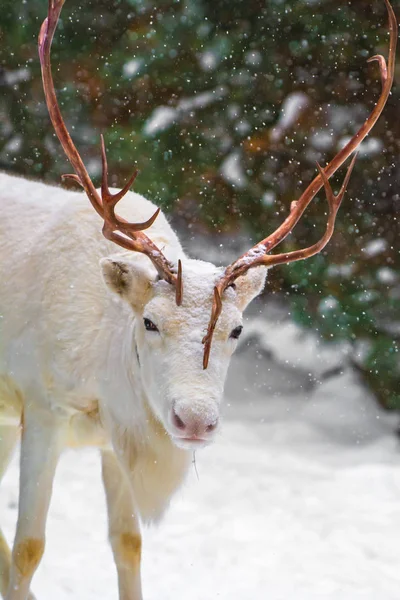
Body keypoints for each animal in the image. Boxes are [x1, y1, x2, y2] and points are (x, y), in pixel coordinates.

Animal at [0, 1, 396, 600]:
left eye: (237, 329)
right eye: (149, 322)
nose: (195, 420)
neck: (103, 384)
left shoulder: (113, 442)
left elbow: (128, 545)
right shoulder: (42, 408)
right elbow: (29, 549)